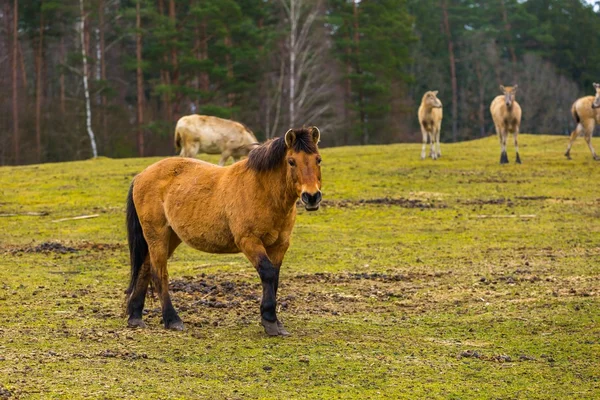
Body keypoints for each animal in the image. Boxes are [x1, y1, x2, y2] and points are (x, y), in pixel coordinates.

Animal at [125, 126, 324, 336]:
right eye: (291, 161)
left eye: (318, 159)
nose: (312, 197)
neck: (262, 191)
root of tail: (141, 176)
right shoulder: (249, 241)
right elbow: (268, 273)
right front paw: (270, 320)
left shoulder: (280, 245)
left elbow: (274, 278)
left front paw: (275, 322)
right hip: (157, 235)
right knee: (159, 273)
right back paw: (172, 319)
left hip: (170, 237)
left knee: (145, 268)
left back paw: (135, 316)